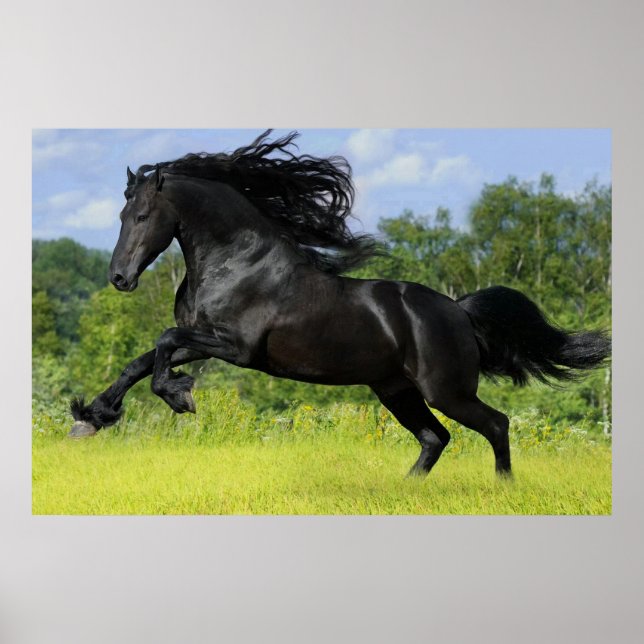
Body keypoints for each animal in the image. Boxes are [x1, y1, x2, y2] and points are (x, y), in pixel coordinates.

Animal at [69, 130, 611, 478]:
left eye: (142, 215)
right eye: (120, 215)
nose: (119, 278)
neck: (237, 262)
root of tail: (458, 310)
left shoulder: (237, 347)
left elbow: (162, 344)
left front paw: (179, 396)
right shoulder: (204, 341)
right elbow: (143, 359)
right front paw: (91, 417)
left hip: (446, 390)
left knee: (495, 424)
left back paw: (503, 487)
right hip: (396, 390)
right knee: (435, 439)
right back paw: (404, 490)